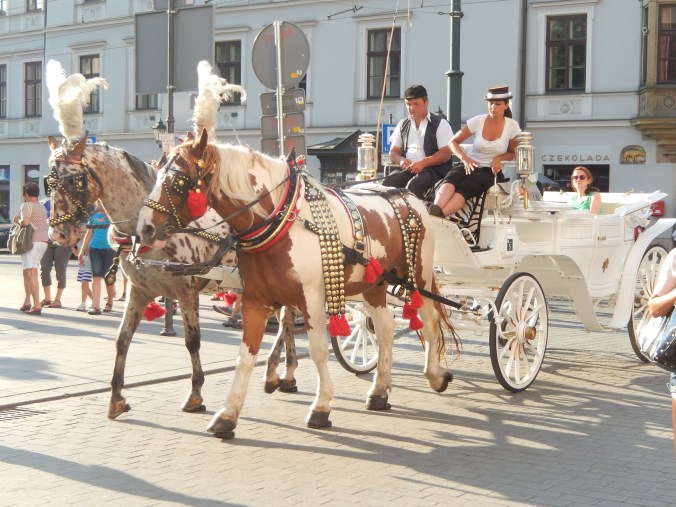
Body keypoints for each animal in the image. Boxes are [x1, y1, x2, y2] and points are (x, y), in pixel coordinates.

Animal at [136, 129, 459, 438]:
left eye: (178, 181)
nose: (144, 229)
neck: (281, 221)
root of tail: (410, 198)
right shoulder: (254, 301)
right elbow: (245, 357)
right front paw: (228, 415)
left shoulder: (311, 299)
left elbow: (318, 350)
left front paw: (321, 406)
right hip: (374, 286)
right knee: (385, 330)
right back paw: (380, 391)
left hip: (419, 276)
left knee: (430, 322)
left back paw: (434, 375)